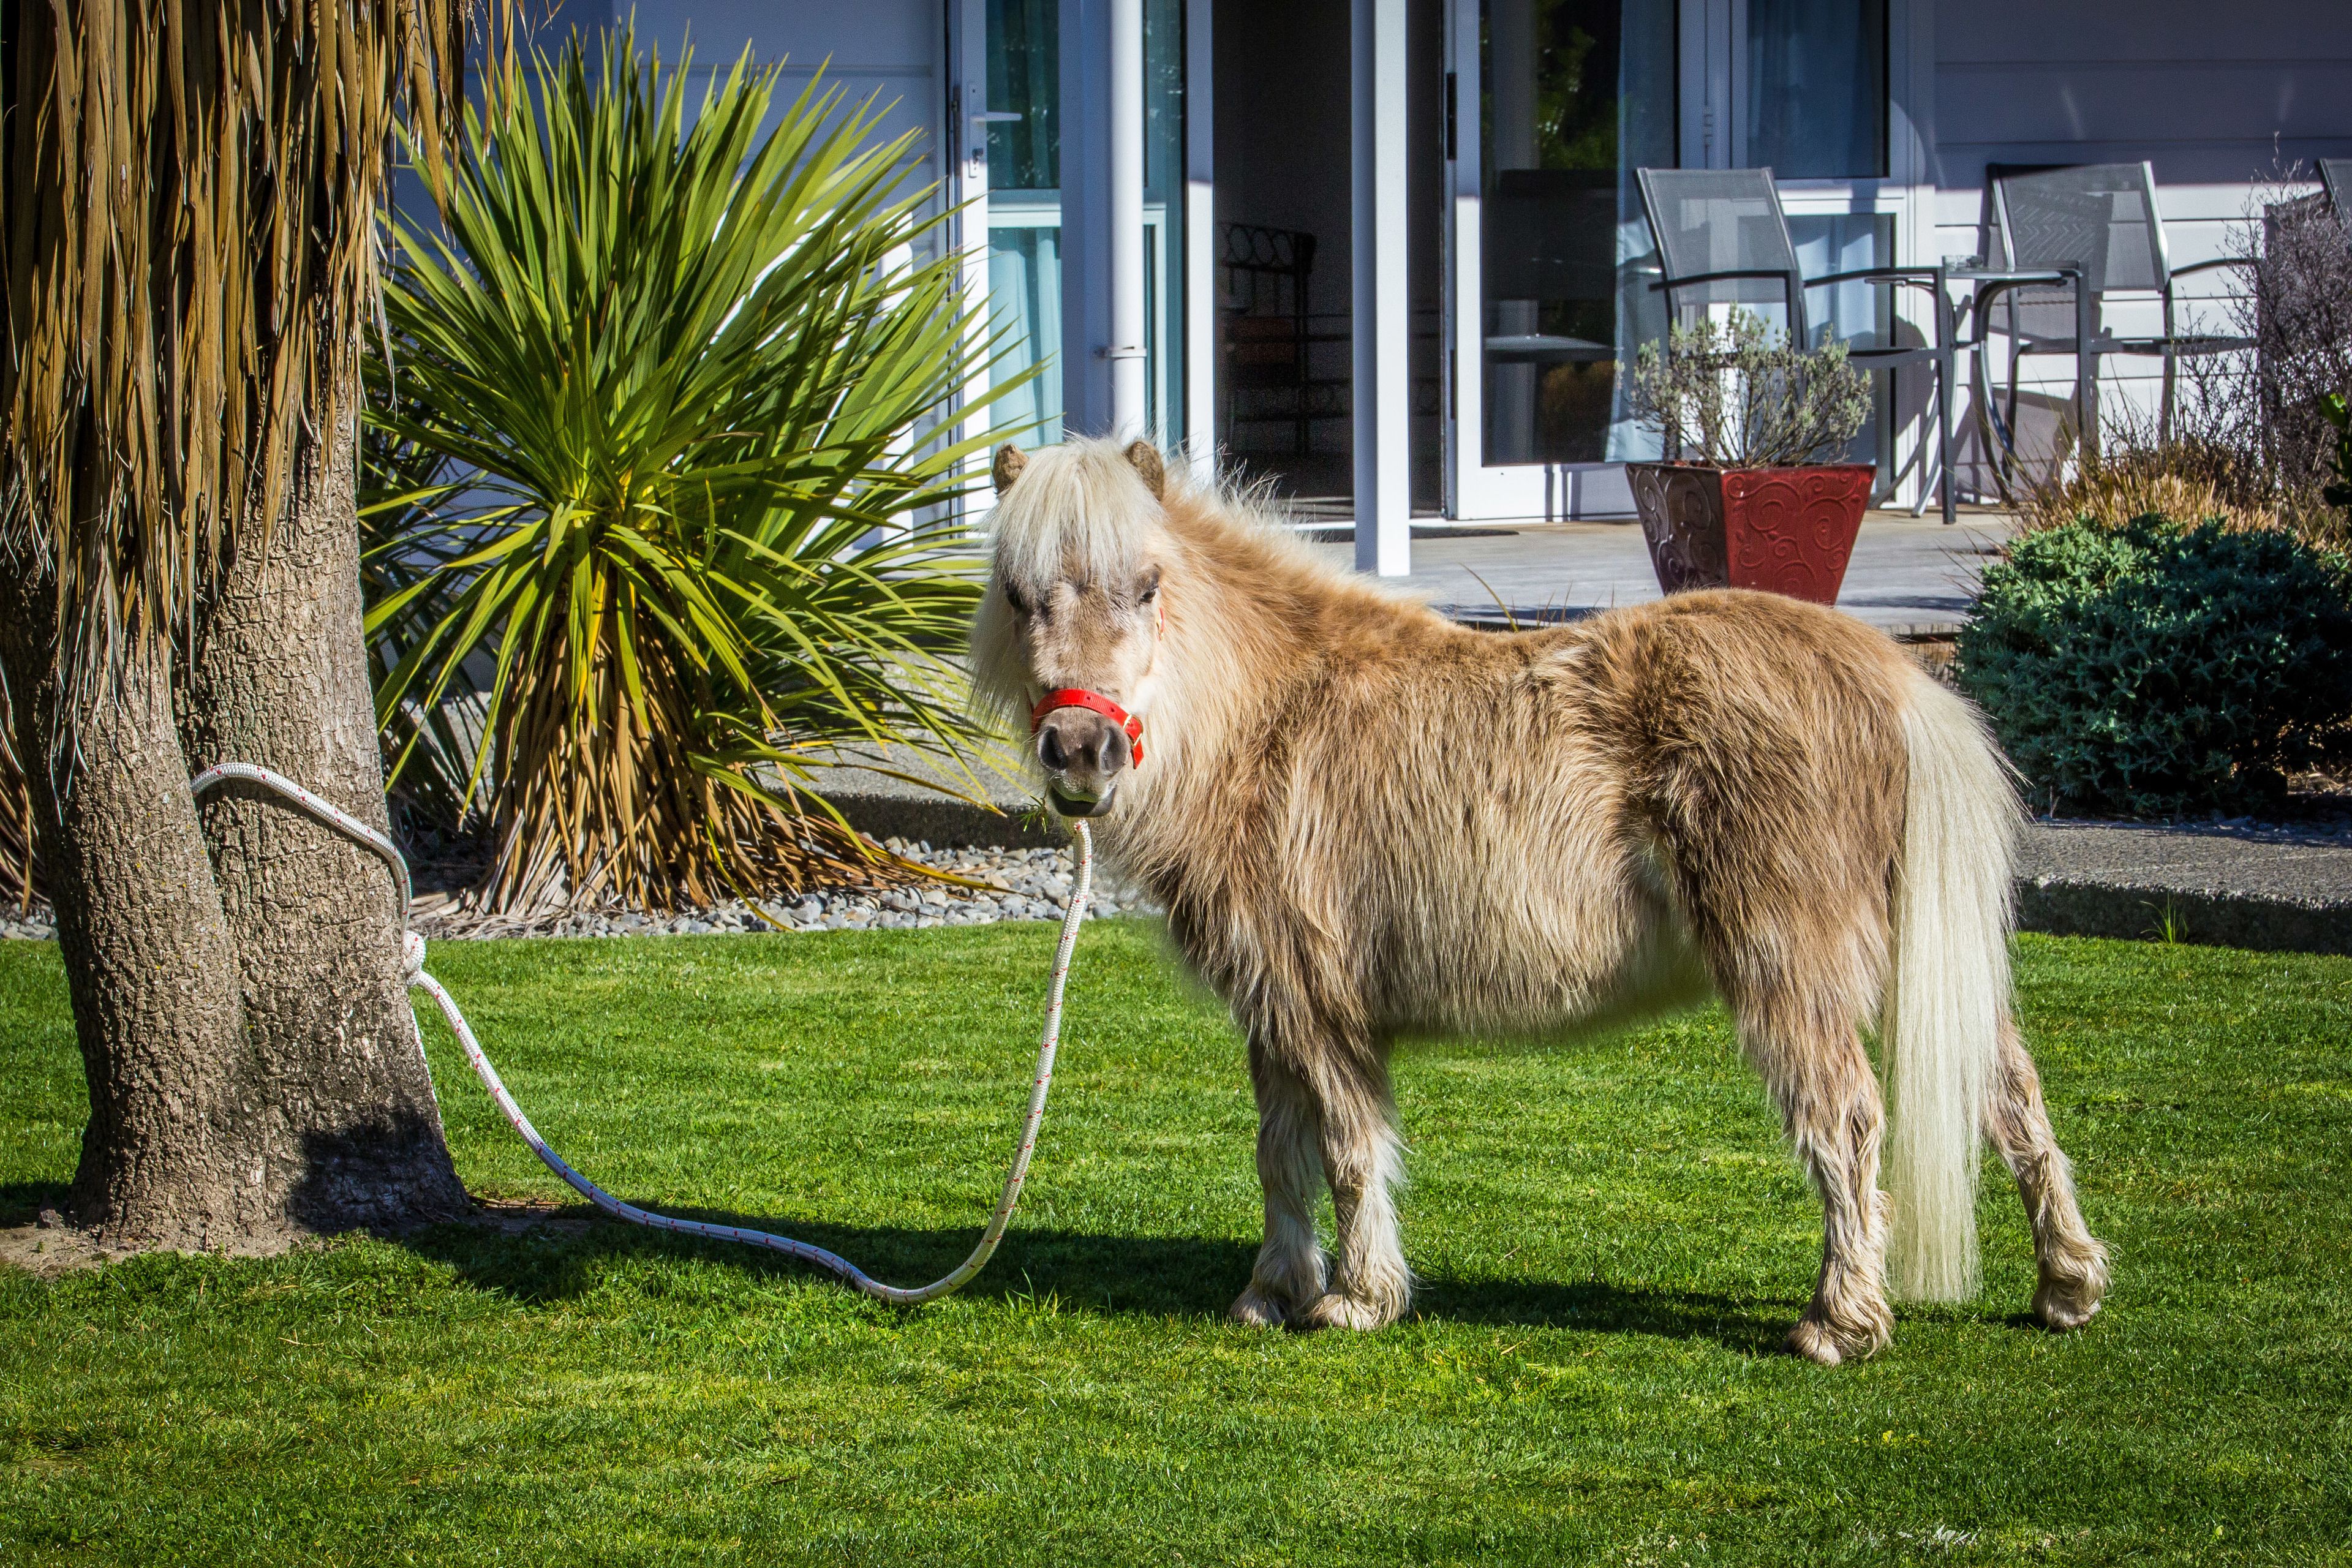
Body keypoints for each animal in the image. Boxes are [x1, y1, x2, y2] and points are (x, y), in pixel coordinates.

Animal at [970, 436, 2108, 1363]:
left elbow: (1346, 1148)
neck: (1265, 720)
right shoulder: (1275, 1006)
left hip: (1793, 965)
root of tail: (1893, 678)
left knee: (1846, 1119)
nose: (1081, 752)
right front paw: (1272, 1293)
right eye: (1020, 596)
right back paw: (2066, 1284)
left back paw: (1843, 1321)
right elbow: (1280, 1152)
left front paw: (1356, 1301)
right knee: (2009, 1094)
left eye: (1146, 584)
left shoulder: (1318, 1005)